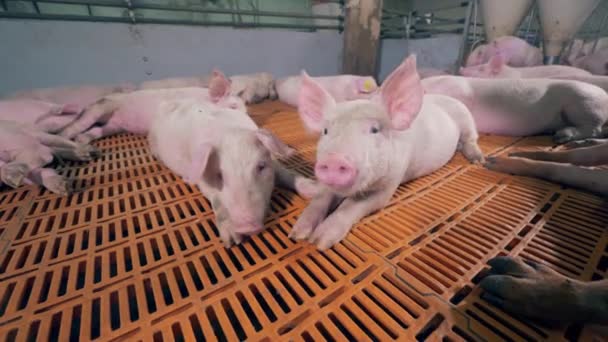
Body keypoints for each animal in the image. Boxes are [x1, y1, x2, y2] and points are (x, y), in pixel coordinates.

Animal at [58, 71, 245, 143]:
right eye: (233, 107)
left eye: (246, 111)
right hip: (101, 108)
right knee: (76, 126)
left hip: (115, 126)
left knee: (97, 131)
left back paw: (84, 144)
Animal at [148, 100, 318, 247]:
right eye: (219, 175)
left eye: (261, 166)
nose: (248, 227)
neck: (229, 132)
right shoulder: (203, 180)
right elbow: (217, 202)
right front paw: (232, 242)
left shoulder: (272, 162)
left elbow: (287, 174)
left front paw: (314, 189)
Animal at [288, 55, 484, 248]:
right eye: (326, 131)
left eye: (374, 129)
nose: (334, 160)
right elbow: (321, 197)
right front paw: (298, 235)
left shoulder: (389, 185)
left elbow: (351, 205)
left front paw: (320, 242)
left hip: (466, 118)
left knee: (471, 139)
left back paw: (478, 160)